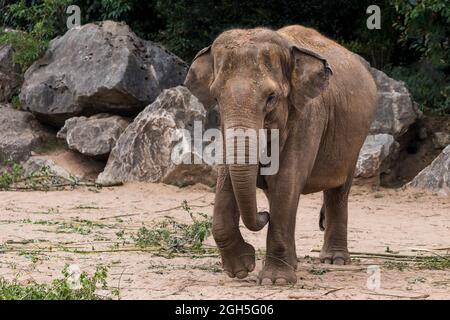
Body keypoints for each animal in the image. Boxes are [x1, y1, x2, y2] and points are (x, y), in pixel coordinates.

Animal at [183, 25, 376, 284]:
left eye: (271, 98)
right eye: (216, 98)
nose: (263, 215)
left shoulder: (308, 117)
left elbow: (286, 180)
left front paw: (276, 281)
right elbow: (226, 179)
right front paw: (241, 270)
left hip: (356, 141)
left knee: (338, 190)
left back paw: (333, 260)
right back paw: (294, 263)